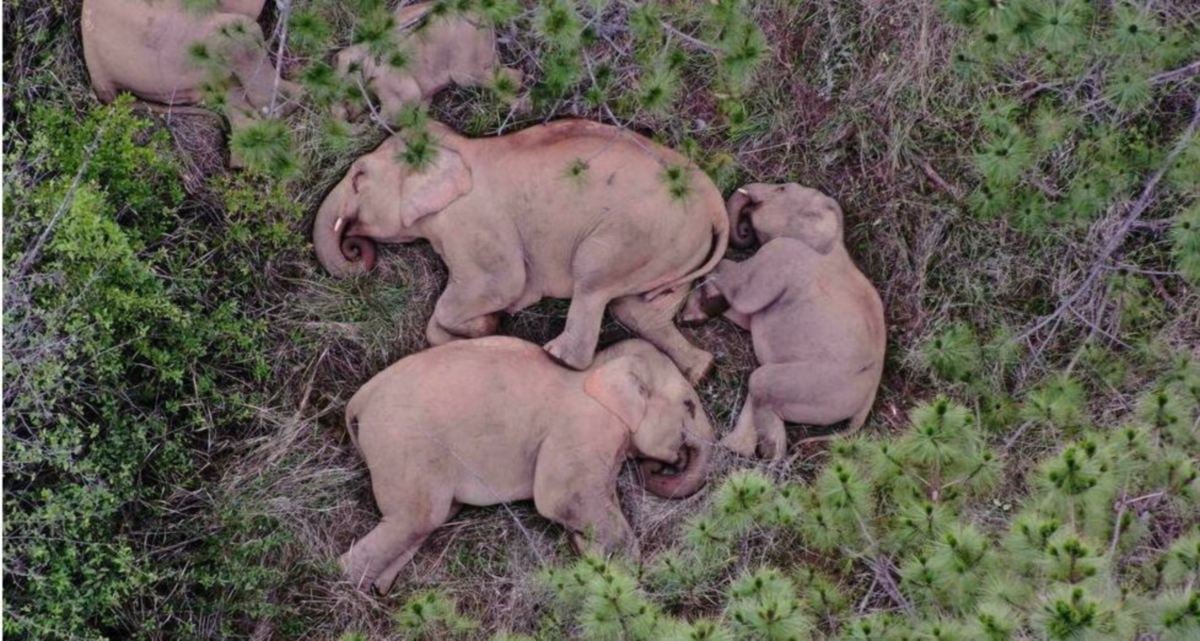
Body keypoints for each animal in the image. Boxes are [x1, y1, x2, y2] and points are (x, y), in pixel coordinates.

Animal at [314, 119, 729, 381]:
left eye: (359, 177)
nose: (355, 247)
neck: (460, 147)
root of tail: (715, 204)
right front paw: (485, 327)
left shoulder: (475, 223)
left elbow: (502, 284)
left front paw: (488, 323)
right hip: (674, 248)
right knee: (636, 308)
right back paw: (701, 370)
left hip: (636, 234)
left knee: (593, 281)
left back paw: (555, 356)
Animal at [333, 0, 520, 123]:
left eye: (345, 99)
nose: (347, 117)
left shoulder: (391, 84)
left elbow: (394, 111)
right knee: (513, 75)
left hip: (466, 62)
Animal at [338, 338, 710, 595]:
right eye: (689, 405)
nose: (664, 465)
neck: (599, 368)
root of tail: (360, 399)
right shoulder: (583, 426)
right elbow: (561, 498)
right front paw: (625, 574)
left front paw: (593, 561)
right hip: (403, 443)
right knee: (418, 517)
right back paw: (344, 579)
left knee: (424, 521)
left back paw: (378, 588)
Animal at [681, 183, 888, 460]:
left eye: (781, 188)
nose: (744, 228)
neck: (835, 242)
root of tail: (865, 406)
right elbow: (745, 316)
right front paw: (699, 312)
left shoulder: (781, 254)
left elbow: (742, 292)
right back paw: (737, 448)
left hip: (816, 385)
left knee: (760, 381)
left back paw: (769, 451)